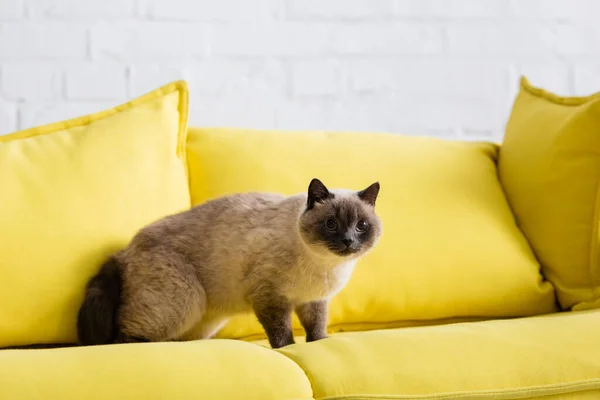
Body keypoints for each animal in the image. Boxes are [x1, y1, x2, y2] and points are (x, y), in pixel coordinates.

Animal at [77, 177, 382, 346]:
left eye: (361, 226)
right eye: (331, 224)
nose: (348, 242)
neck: (326, 265)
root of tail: (126, 250)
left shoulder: (313, 301)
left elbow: (316, 328)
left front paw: (319, 344)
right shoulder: (269, 297)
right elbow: (281, 332)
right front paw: (289, 349)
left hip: (202, 320)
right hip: (184, 303)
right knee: (123, 337)